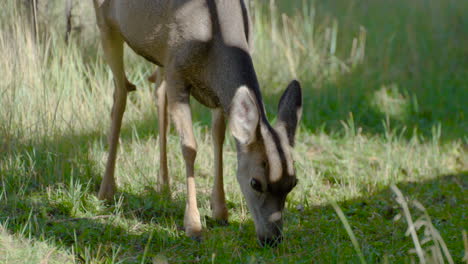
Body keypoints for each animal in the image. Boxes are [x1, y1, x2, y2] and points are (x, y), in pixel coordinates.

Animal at [93, 0, 302, 248]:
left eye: (293, 183)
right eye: (255, 183)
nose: (273, 239)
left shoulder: (216, 93)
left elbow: (218, 136)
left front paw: (220, 211)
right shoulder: (176, 70)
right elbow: (189, 147)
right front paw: (193, 226)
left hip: (160, 55)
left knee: (157, 92)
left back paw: (163, 187)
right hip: (106, 23)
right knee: (121, 93)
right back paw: (106, 190)